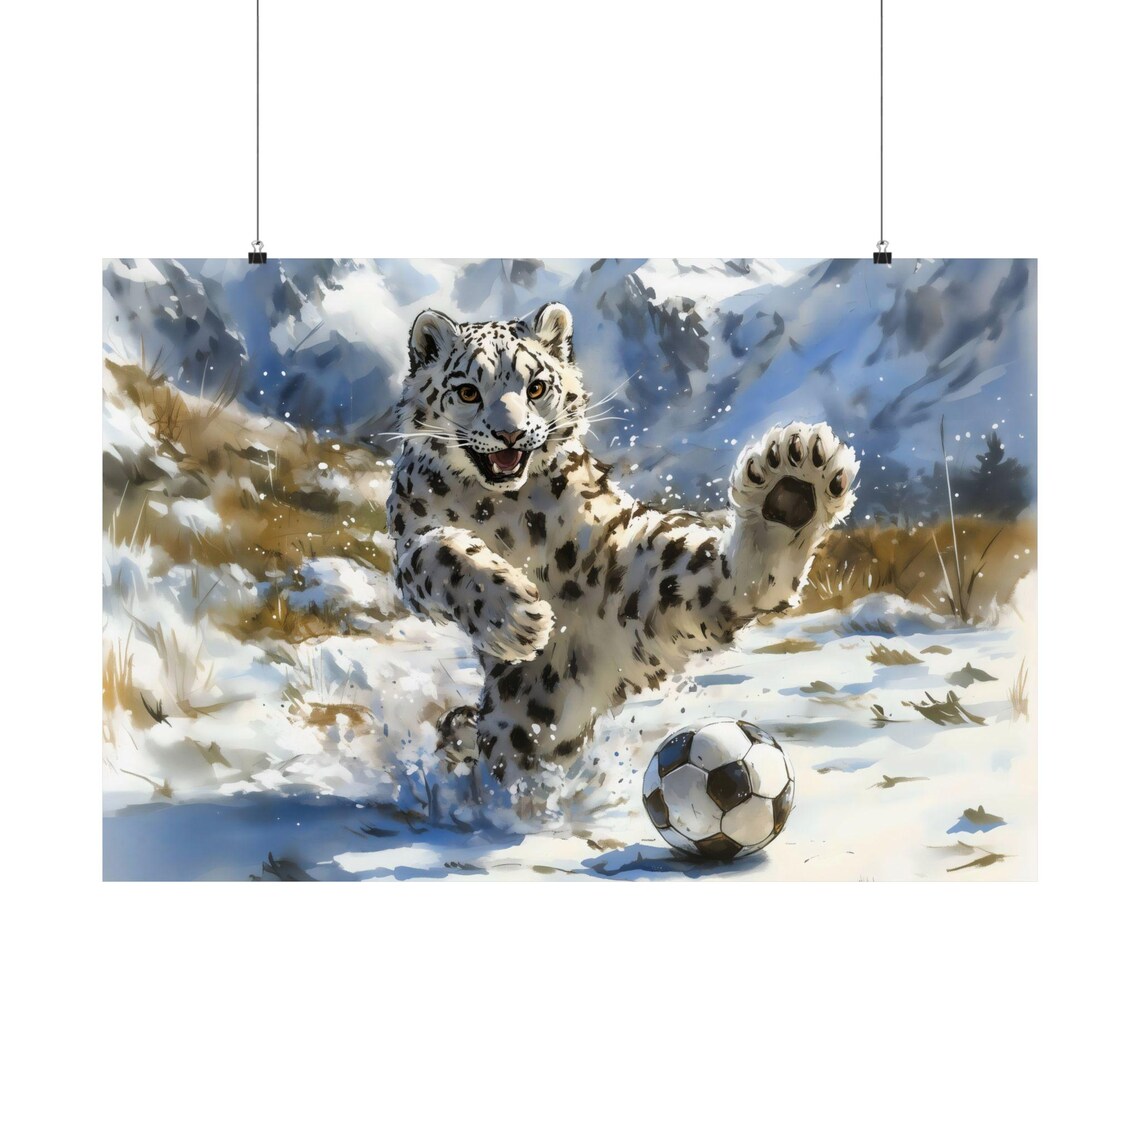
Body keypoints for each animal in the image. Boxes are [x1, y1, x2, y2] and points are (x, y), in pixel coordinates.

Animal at [386, 302, 858, 789]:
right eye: (467, 392)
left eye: (536, 387)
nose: (510, 435)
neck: (505, 508)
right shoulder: (412, 538)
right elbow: (445, 554)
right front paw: (516, 616)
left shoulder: (611, 546)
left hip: (642, 594)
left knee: (727, 580)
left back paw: (792, 488)